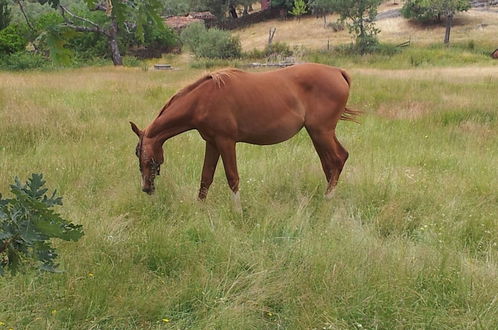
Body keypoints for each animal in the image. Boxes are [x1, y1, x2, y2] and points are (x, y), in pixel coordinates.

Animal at [130, 63, 360, 210]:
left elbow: (232, 178)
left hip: (321, 132)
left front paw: (238, 212)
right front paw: (200, 210)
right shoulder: (212, 143)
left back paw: (327, 200)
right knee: (330, 163)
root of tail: (338, 72)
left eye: (140, 154)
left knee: (337, 159)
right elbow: (206, 177)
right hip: (318, 134)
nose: (146, 188)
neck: (203, 99)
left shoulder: (226, 142)